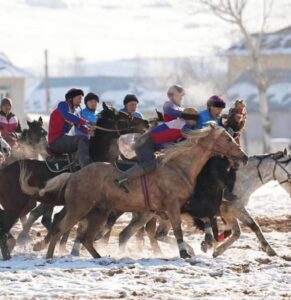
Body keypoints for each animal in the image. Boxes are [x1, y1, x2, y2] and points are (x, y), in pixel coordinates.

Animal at [20, 125, 249, 258]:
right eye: (227, 139)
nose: (244, 156)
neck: (179, 167)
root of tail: (73, 175)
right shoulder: (173, 206)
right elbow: (177, 229)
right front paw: (185, 252)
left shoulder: (184, 207)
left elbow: (205, 219)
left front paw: (207, 243)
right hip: (80, 208)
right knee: (60, 228)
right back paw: (49, 256)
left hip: (98, 212)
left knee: (85, 237)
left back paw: (98, 257)